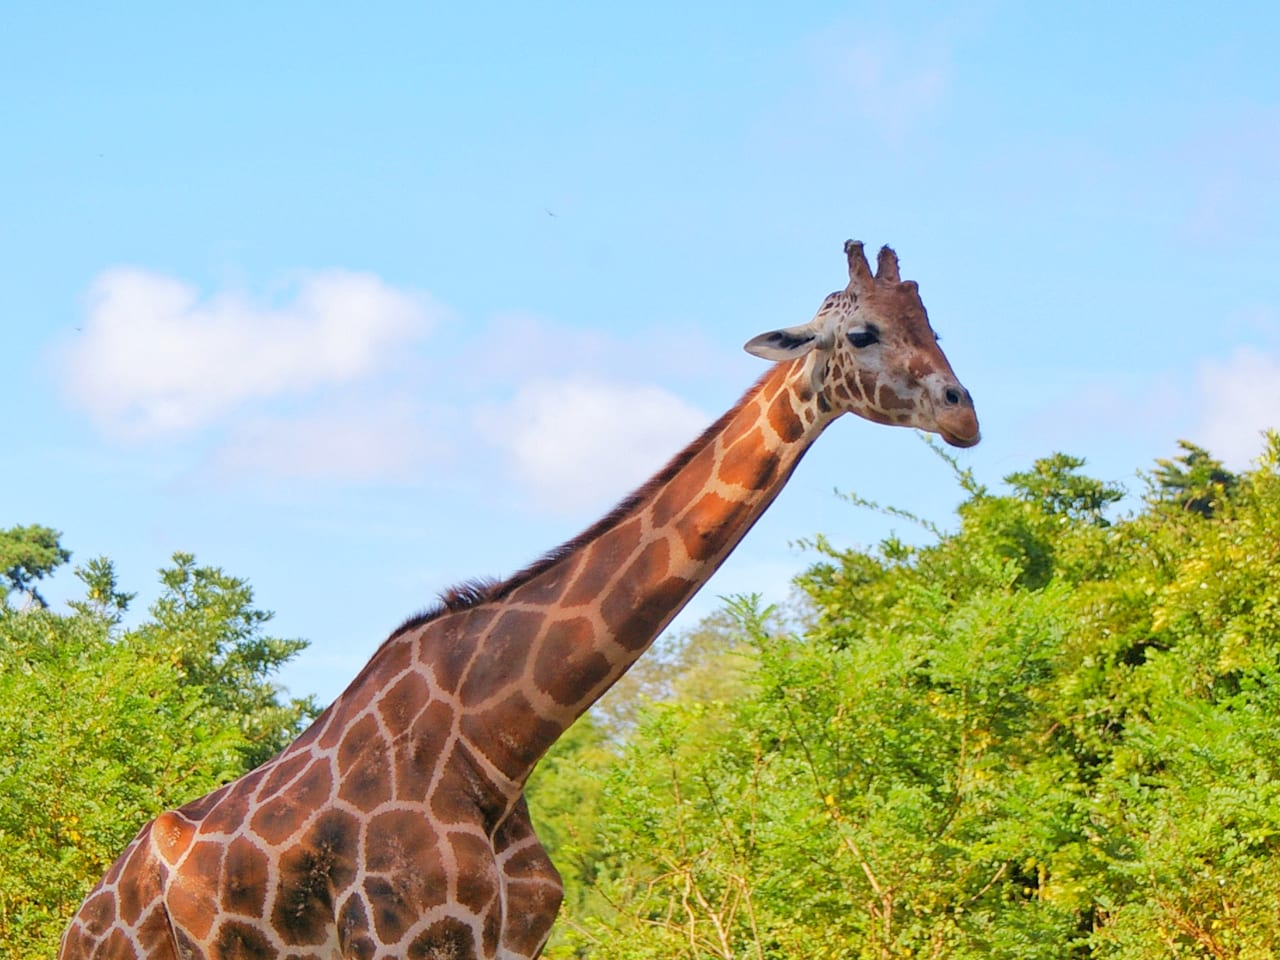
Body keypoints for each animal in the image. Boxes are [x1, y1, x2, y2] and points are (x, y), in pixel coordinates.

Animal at [60, 240, 977, 960]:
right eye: (861, 332)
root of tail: (86, 912)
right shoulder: (402, 942)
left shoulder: (508, 944)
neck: (498, 743)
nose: (962, 413)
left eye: (934, 326)